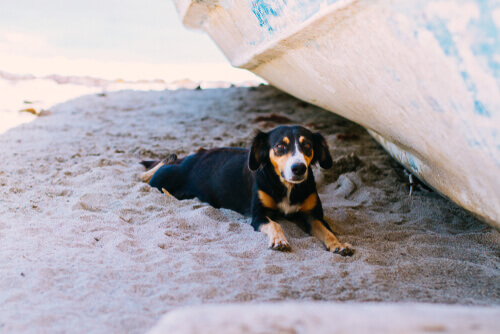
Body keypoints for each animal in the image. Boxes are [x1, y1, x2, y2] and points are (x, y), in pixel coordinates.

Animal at [139, 125, 354, 256]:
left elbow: (327, 231)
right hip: (165, 180)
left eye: (307, 146)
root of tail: (190, 158)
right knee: (153, 174)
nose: (299, 168)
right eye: (280, 146)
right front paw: (279, 240)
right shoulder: (259, 215)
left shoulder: (312, 215)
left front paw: (339, 245)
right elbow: (275, 225)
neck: (286, 186)